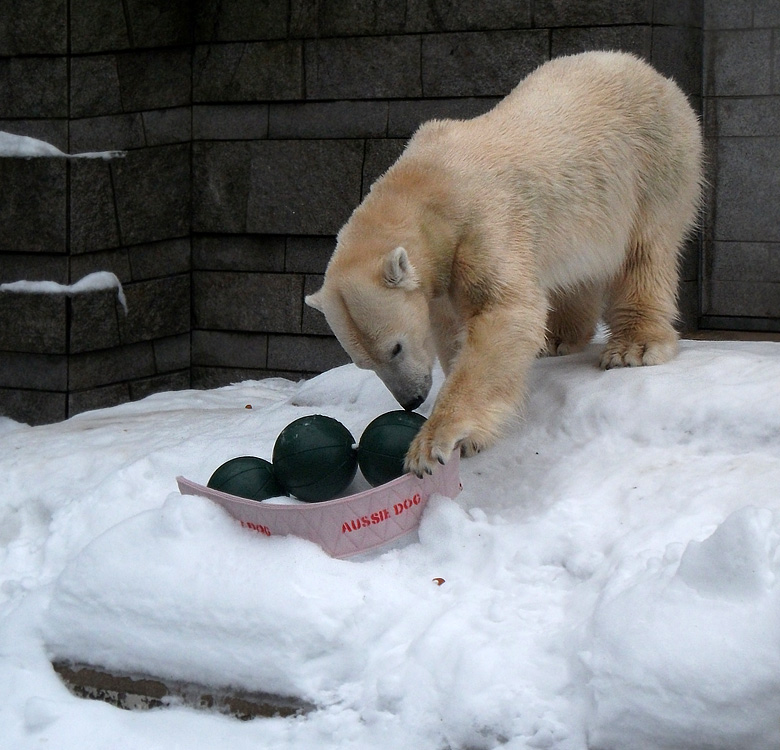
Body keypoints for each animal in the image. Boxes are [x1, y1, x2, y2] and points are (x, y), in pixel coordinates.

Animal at [304, 51, 700, 476]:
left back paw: (633, 348)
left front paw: (434, 443)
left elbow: (504, 312)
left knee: (645, 249)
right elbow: (455, 330)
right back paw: (558, 338)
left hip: (652, 162)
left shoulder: (482, 222)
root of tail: (652, 73)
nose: (411, 400)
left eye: (395, 348)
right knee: (576, 271)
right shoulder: (444, 273)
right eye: (363, 363)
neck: (427, 185)